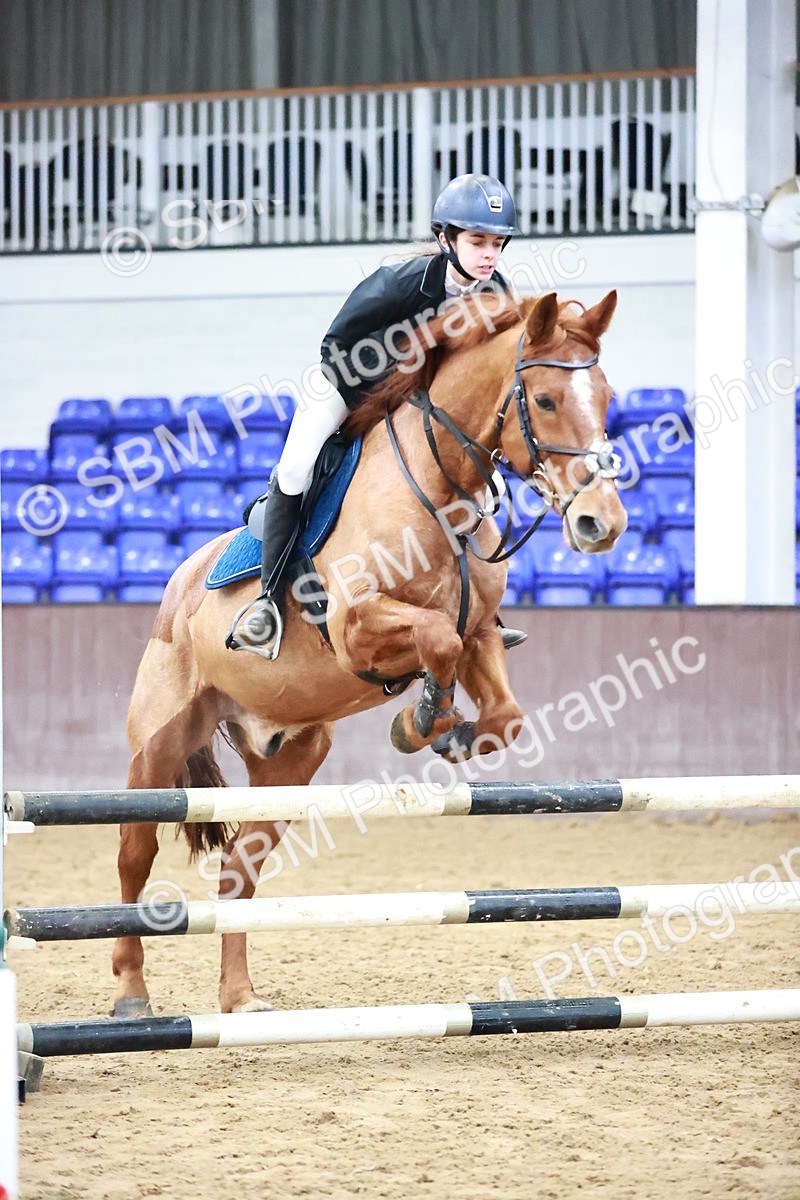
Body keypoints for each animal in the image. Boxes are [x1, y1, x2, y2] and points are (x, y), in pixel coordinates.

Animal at [112, 288, 627, 1018]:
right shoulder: (357, 626)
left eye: (606, 398)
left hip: (290, 757)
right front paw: (421, 719)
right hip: (157, 747)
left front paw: (445, 729)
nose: (601, 523)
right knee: (133, 855)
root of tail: (177, 585)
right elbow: (434, 640)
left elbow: (501, 712)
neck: (441, 492)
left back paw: (241, 997)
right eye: (548, 399)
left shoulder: (479, 632)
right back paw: (132, 992)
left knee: (240, 867)